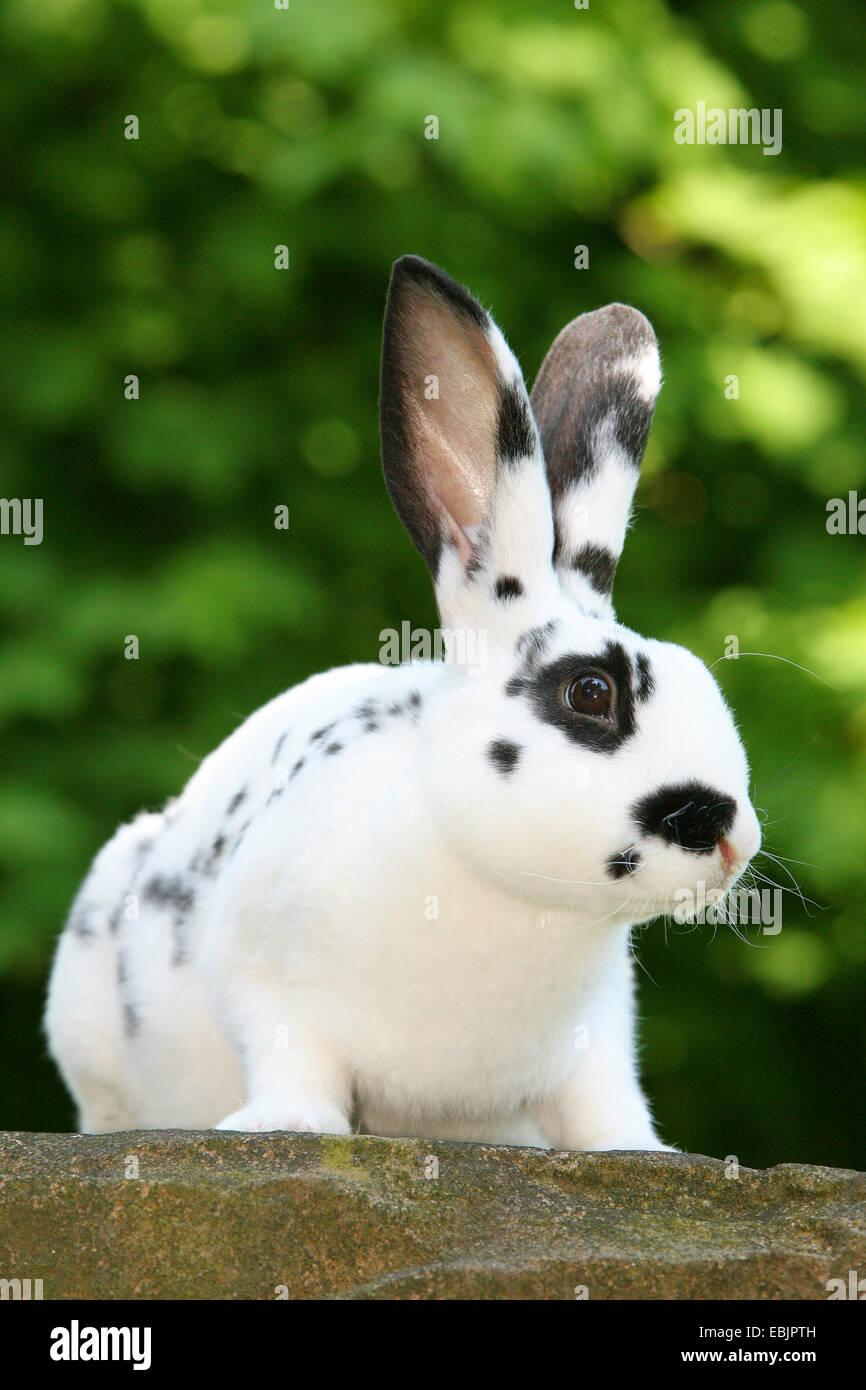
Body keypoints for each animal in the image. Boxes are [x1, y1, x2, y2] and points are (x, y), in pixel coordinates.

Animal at [44, 255, 756, 1145]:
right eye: (590, 692)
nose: (730, 835)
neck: (507, 900)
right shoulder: (263, 979)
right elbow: (291, 1058)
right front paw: (287, 1124)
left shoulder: (599, 1038)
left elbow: (604, 1101)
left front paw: (641, 1150)